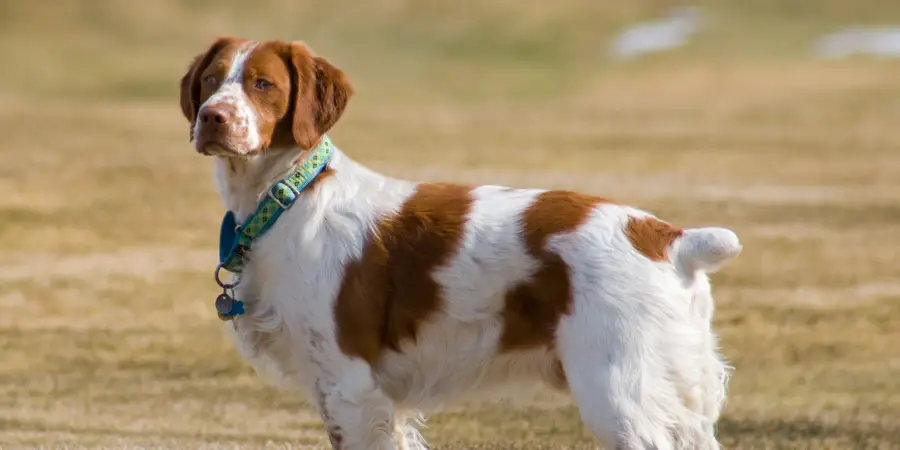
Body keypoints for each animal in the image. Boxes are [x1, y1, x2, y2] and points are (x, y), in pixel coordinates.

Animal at [179, 36, 740, 450]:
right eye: (211, 80)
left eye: (263, 84)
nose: (212, 117)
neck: (288, 197)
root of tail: (670, 239)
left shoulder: (349, 386)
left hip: (620, 394)